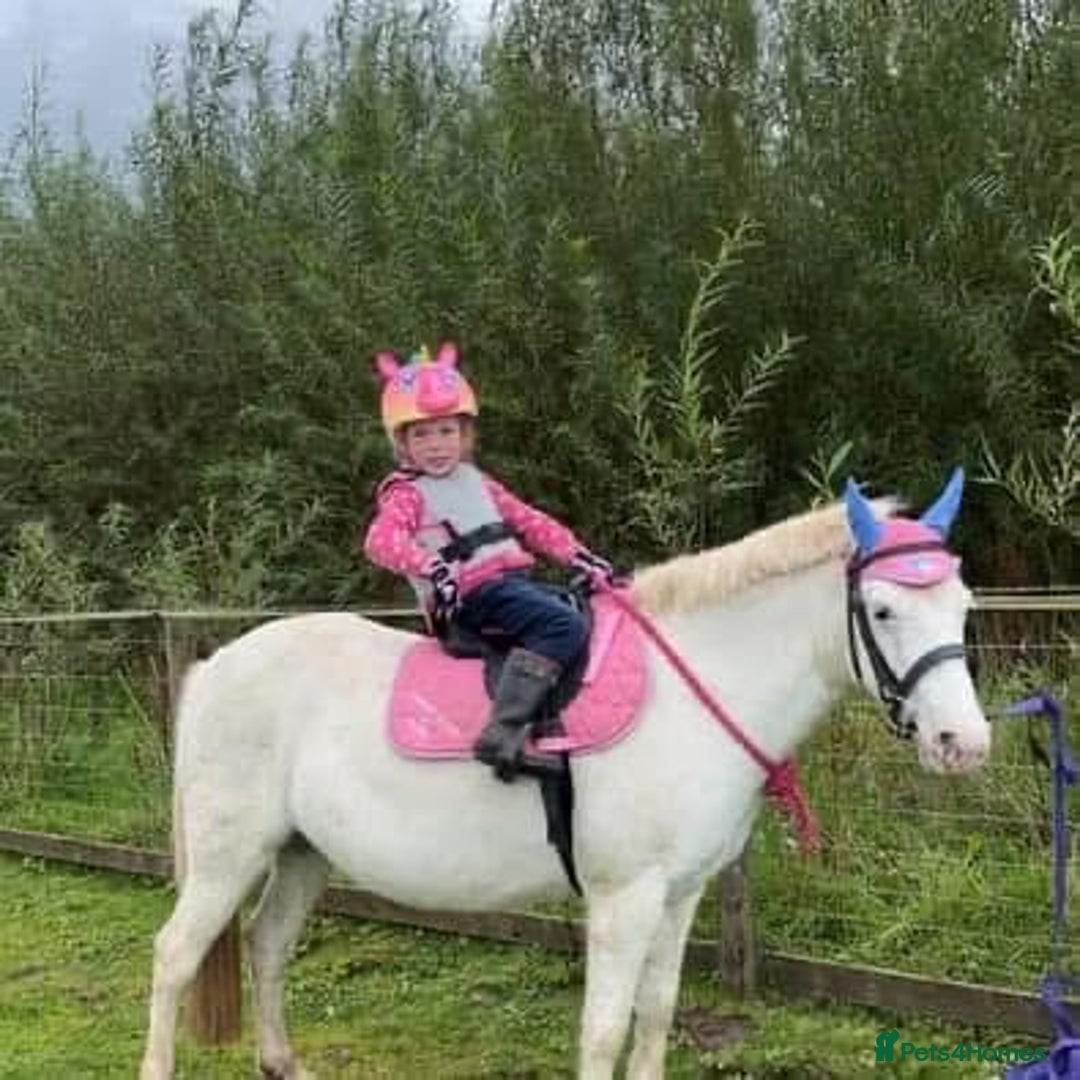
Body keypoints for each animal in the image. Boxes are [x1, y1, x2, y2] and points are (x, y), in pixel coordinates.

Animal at [139, 470, 990, 1079]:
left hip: (301, 852)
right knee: (176, 955)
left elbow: (656, 1014)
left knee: (267, 945)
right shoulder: (624, 898)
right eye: (882, 610)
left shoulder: (681, 895)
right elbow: (605, 1030)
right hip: (229, 855)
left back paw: (282, 1063)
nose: (964, 743)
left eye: (962, 603)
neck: (685, 692)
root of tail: (215, 666)